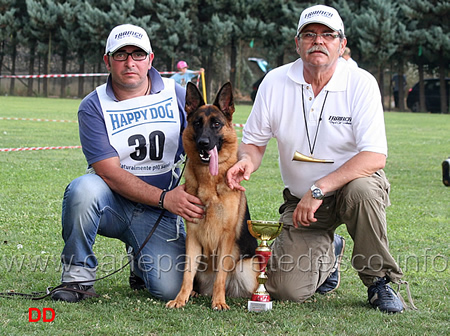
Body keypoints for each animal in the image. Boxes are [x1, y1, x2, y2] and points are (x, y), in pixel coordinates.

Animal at [166, 82, 258, 312]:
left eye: (216, 124)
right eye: (197, 124)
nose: (203, 143)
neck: (209, 182)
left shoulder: (226, 238)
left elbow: (220, 277)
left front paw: (218, 301)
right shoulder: (192, 237)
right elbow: (187, 274)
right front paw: (180, 298)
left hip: (247, 268)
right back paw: (195, 293)